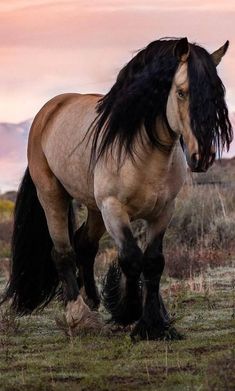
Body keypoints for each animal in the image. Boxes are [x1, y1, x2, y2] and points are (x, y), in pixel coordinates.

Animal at [0, 38, 232, 342]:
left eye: (217, 95)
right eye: (182, 92)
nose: (202, 156)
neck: (144, 151)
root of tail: (50, 110)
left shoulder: (163, 212)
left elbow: (154, 262)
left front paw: (155, 324)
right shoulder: (114, 209)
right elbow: (131, 259)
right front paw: (128, 312)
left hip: (94, 208)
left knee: (84, 245)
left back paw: (93, 302)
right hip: (53, 195)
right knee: (62, 252)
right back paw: (80, 316)